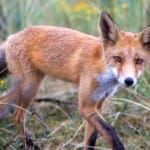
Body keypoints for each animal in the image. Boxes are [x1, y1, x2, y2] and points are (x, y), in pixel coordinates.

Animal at [0, 11, 150, 150]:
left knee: (5, 104)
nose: (129, 81)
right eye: (117, 58)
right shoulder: (86, 105)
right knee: (17, 116)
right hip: (29, 88)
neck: (103, 70)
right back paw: (29, 144)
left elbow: (91, 140)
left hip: (24, 87)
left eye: (139, 61)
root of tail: (11, 37)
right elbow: (109, 129)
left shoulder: (97, 104)